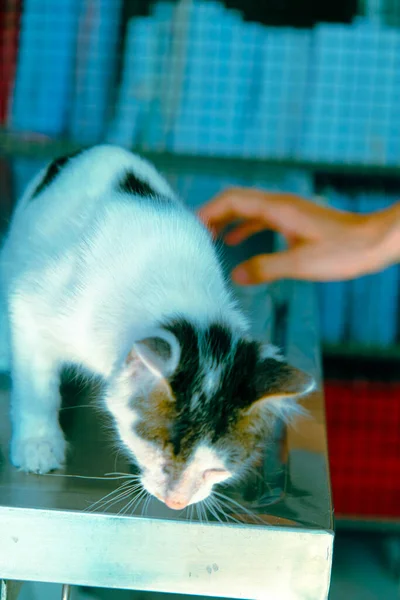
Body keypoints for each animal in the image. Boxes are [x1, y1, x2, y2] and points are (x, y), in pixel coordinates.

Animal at [0, 145, 314, 506]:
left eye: (216, 469)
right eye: (161, 447)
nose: (176, 501)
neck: (182, 298)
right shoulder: (32, 304)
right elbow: (36, 384)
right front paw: (37, 442)